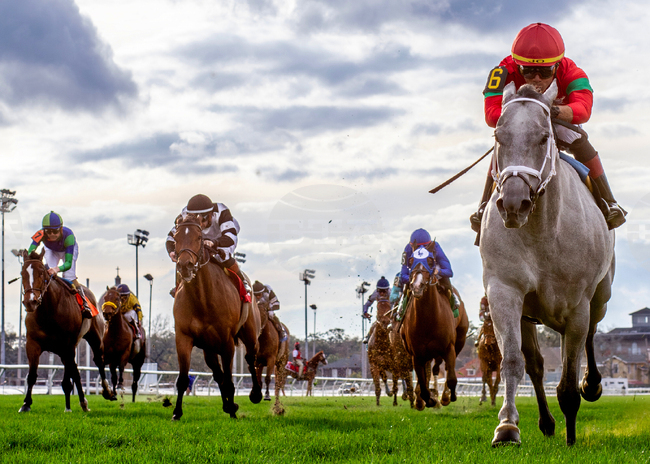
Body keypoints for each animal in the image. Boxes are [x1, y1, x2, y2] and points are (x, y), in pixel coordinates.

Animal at [19, 249, 115, 412]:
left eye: (41, 273)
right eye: (22, 273)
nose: (30, 302)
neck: (48, 313)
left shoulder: (67, 344)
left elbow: (71, 376)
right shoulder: (32, 343)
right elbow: (32, 375)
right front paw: (26, 404)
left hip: (94, 338)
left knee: (98, 361)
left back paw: (106, 392)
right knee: (74, 371)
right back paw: (78, 404)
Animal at [172, 214, 263, 420]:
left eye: (199, 237)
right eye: (176, 238)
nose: (185, 265)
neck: (202, 299)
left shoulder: (227, 341)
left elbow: (229, 380)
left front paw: (234, 413)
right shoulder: (183, 338)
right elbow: (183, 379)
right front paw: (176, 413)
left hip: (250, 334)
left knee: (250, 358)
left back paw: (255, 394)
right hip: (209, 348)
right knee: (217, 372)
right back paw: (229, 405)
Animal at [400, 242, 469, 409]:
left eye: (430, 261)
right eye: (410, 261)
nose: (417, 286)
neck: (428, 320)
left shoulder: (449, 348)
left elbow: (451, 378)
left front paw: (447, 397)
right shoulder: (416, 354)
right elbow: (423, 383)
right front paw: (427, 399)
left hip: (459, 341)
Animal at [480, 82, 614, 446]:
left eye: (543, 137)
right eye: (499, 136)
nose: (514, 203)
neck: (542, 231)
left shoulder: (577, 304)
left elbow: (568, 378)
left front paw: (571, 436)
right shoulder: (504, 290)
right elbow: (515, 360)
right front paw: (507, 427)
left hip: (601, 296)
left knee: (591, 334)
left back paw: (591, 385)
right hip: (530, 312)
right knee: (537, 365)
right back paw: (547, 422)